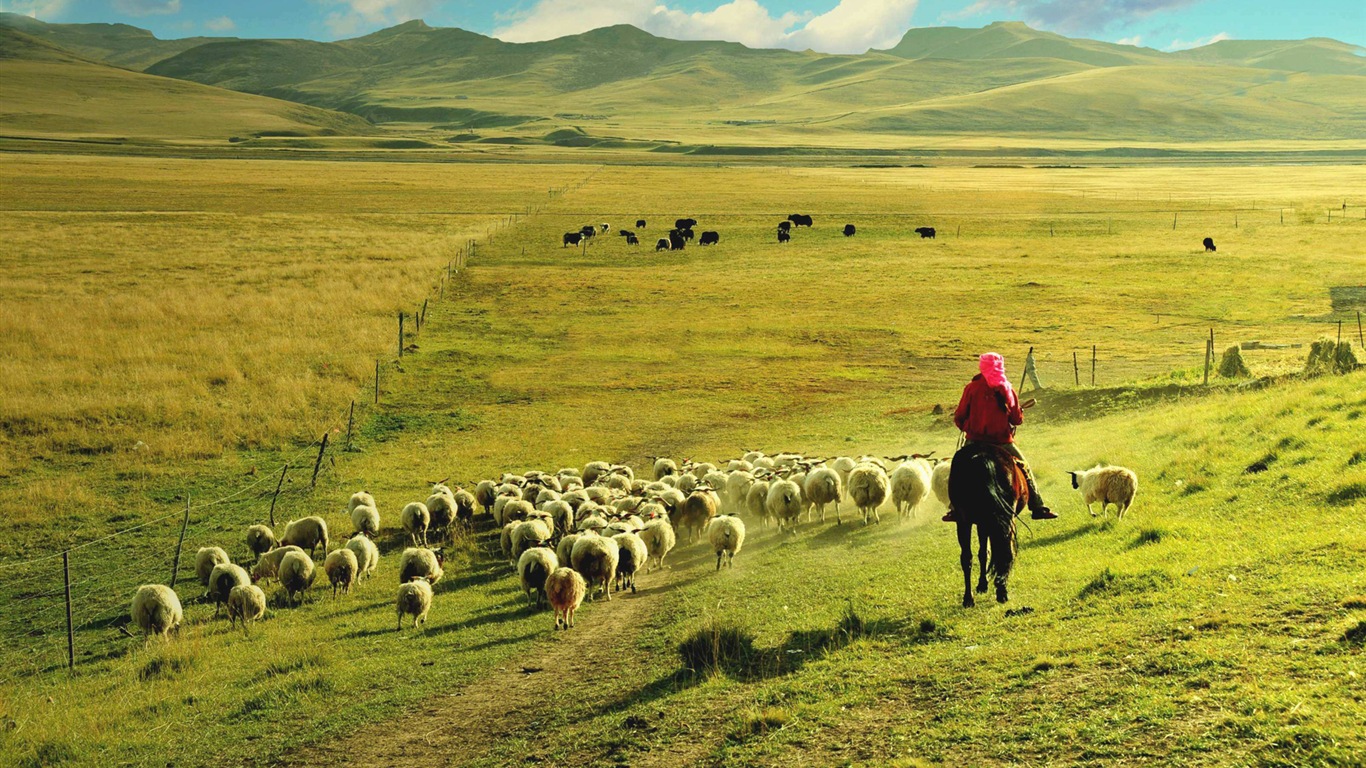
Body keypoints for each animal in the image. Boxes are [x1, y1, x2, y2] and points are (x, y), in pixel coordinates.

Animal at [950, 442, 1027, 604]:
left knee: (966, 557)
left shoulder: (982, 523)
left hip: (964, 520)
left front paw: (982, 585)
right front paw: (985, 584)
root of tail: (983, 457)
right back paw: (1001, 591)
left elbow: (983, 552)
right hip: (1005, 518)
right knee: (1006, 551)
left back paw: (968, 599)